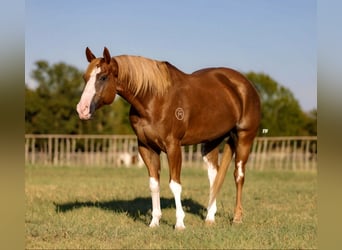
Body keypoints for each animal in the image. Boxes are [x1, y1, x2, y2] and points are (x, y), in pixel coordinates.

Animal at [76, 47, 260, 229]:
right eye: (85, 77)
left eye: (103, 77)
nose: (82, 109)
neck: (154, 98)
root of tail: (244, 84)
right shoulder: (146, 148)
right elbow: (154, 184)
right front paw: (154, 222)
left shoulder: (173, 147)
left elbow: (174, 184)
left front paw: (179, 224)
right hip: (211, 142)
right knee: (214, 176)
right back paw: (209, 217)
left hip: (244, 138)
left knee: (239, 175)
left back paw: (237, 217)